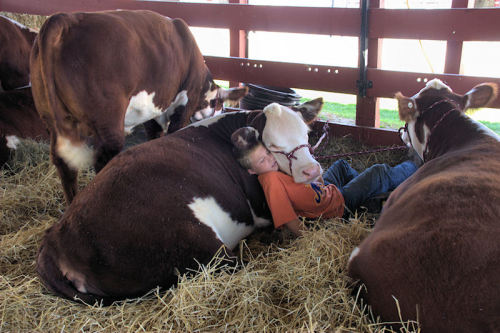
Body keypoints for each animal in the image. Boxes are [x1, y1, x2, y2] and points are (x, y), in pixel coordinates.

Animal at [29, 9, 248, 204]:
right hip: (108, 122)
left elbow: (155, 137)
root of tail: (63, 19)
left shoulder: (153, 113)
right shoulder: (185, 103)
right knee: (102, 160)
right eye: (220, 107)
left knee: (64, 164)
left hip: (52, 119)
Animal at [36, 99, 324, 306]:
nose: (311, 171)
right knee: (232, 263)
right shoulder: (261, 203)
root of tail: (55, 240)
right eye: (273, 146)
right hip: (191, 237)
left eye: (306, 134)